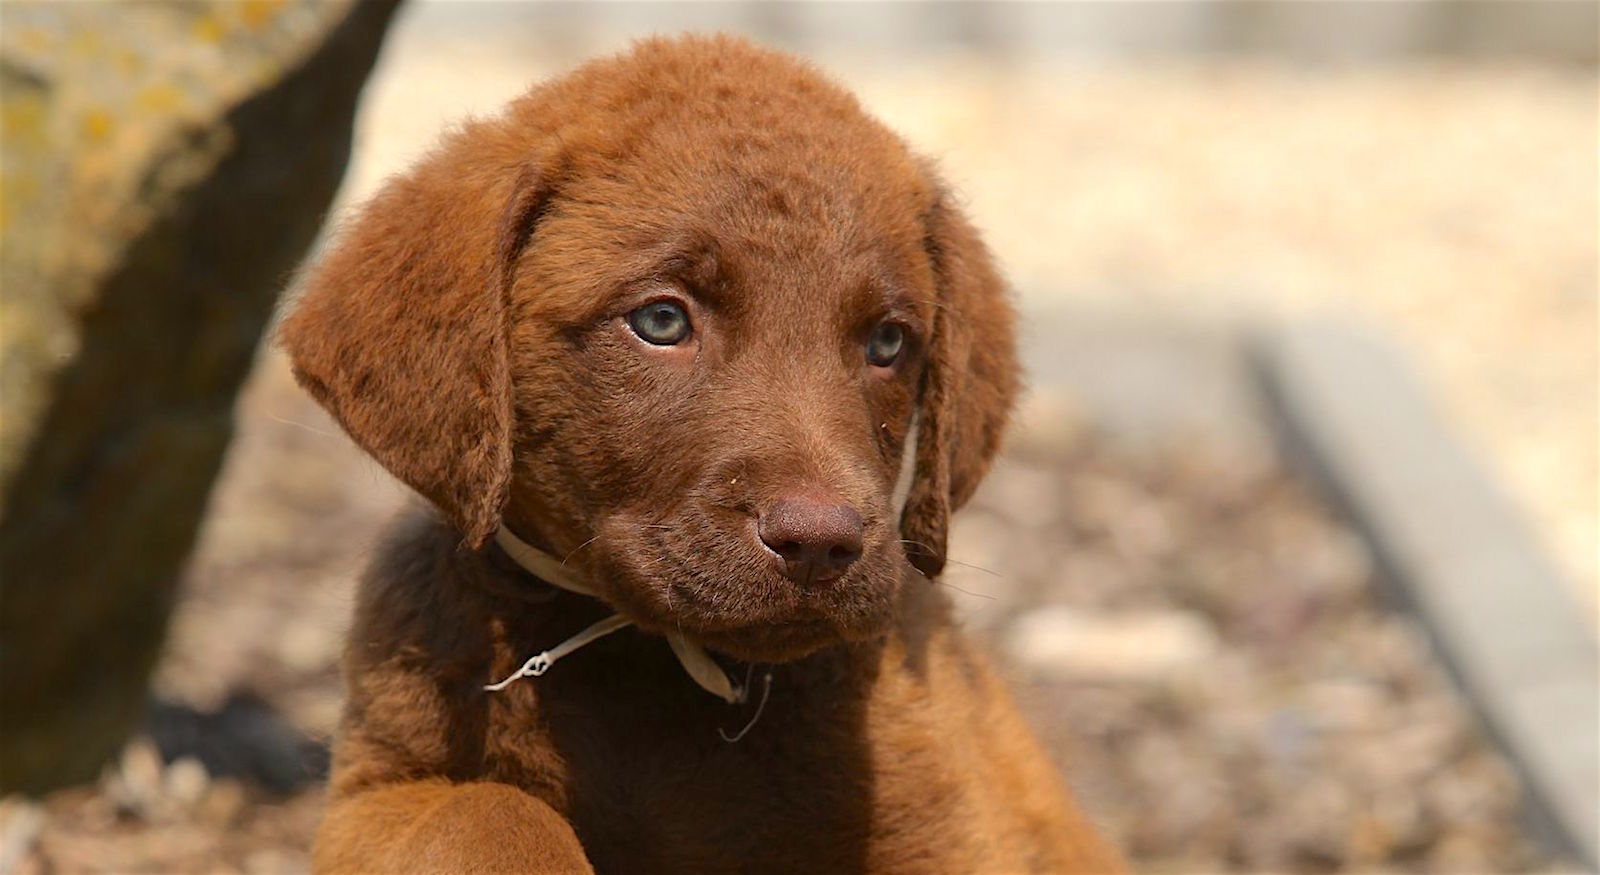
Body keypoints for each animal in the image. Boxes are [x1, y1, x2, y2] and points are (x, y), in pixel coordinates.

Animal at [278, 34, 1126, 875]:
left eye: (889, 342)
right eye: (661, 320)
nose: (819, 543)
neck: (652, 673)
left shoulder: (950, 821)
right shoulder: (378, 786)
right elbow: (490, 811)